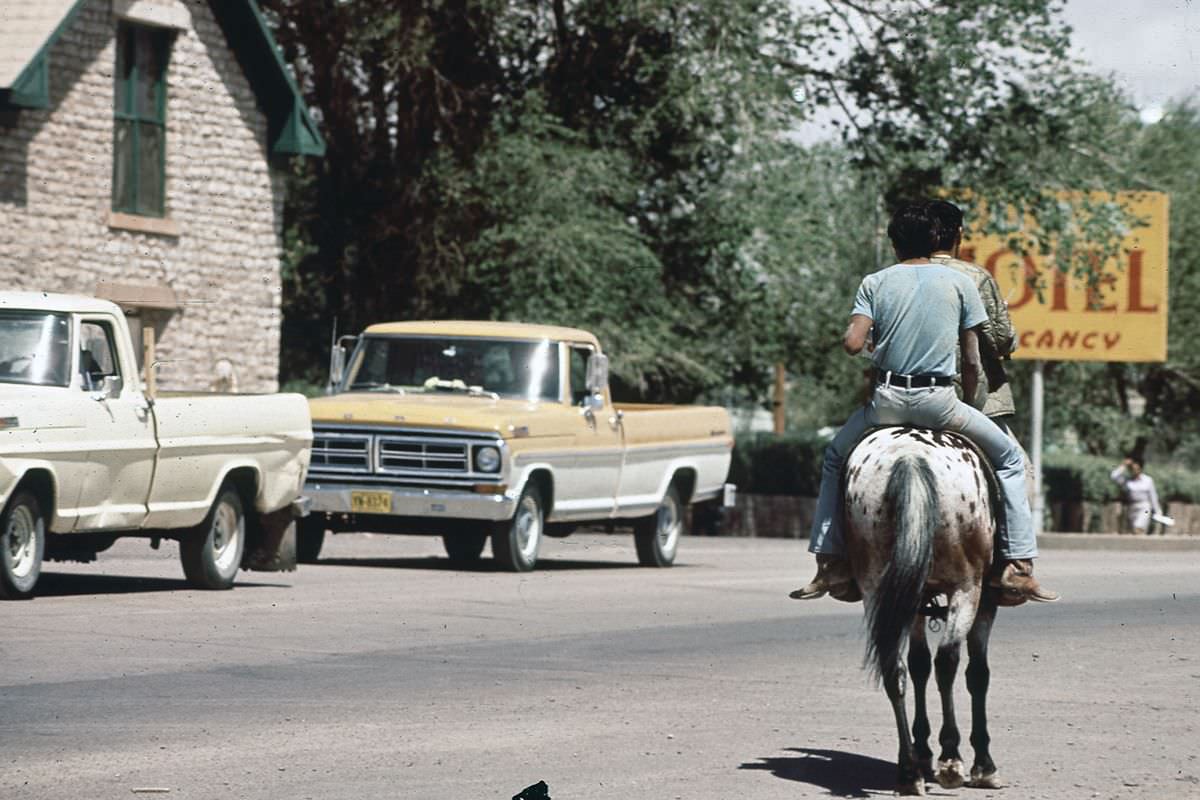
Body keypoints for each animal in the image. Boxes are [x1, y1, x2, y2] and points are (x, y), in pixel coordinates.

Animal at [844, 424, 1003, 796]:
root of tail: (909, 456)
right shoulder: (984, 600)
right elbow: (977, 673)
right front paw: (981, 764)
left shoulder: (911, 599)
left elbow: (918, 665)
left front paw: (923, 751)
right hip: (966, 588)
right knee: (947, 661)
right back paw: (951, 760)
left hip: (879, 586)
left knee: (894, 667)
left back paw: (908, 771)